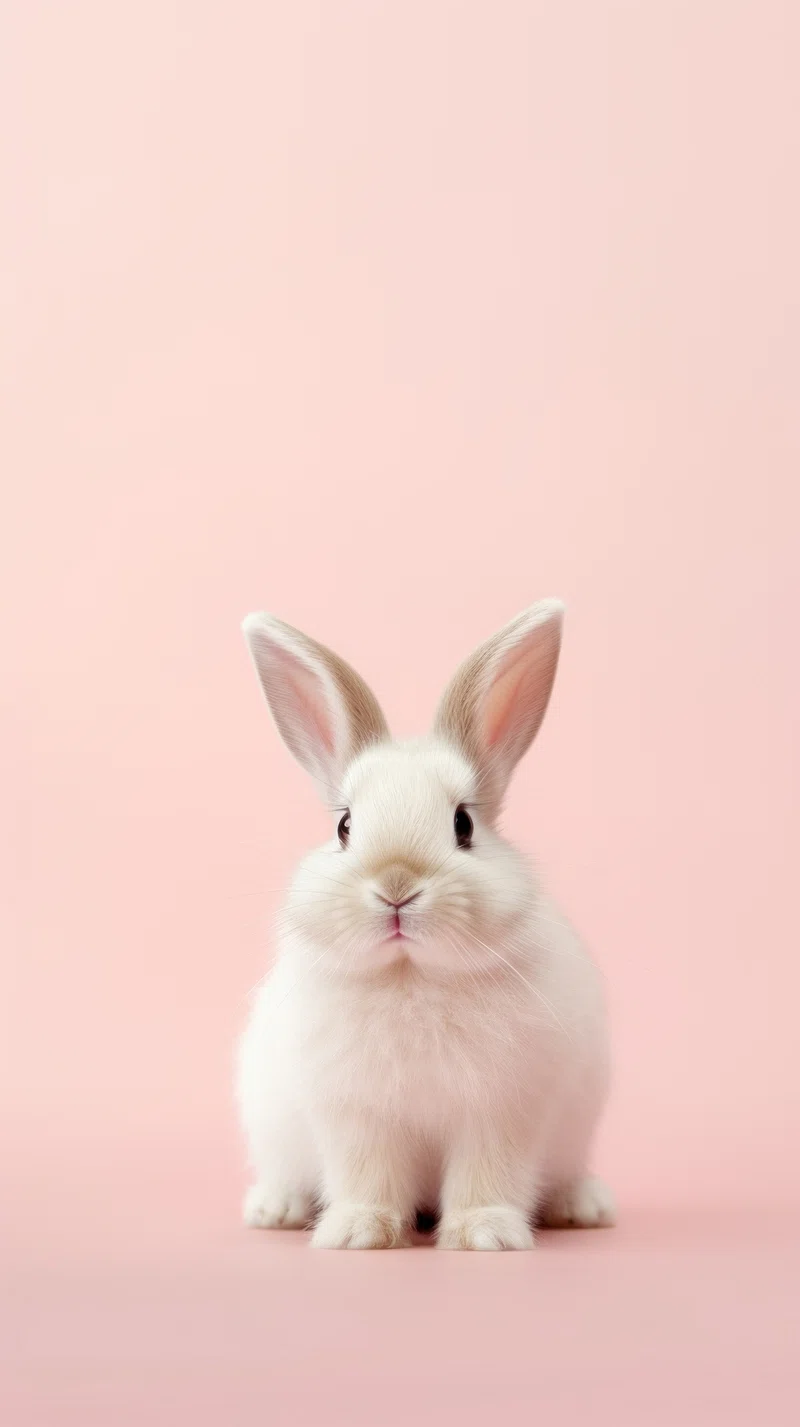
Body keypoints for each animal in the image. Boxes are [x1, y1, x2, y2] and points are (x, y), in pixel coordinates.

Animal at [236, 600, 614, 1250]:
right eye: (344, 826)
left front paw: (485, 1233)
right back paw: (274, 1209)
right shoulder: (357, 1115)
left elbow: (489, 1173)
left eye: (464, 824)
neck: (411, 976)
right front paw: (358, 1231)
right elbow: (366, 1174)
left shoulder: (503, 1110)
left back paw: (582, 1205)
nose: (396, 886)